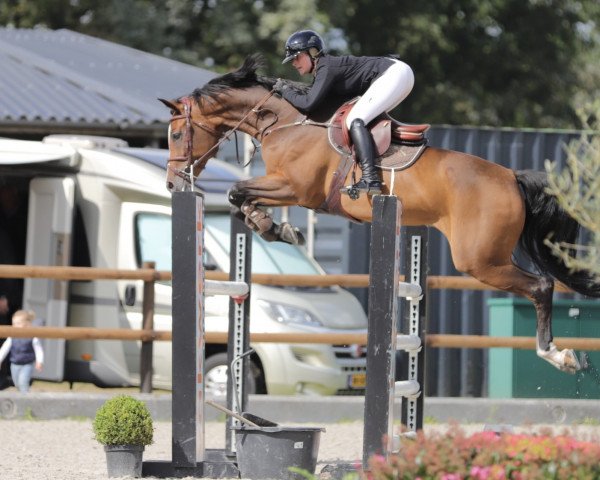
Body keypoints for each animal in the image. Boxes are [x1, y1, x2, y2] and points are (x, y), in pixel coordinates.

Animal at [161, 53, 600, 376]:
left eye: (177, 134)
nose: (171, 183)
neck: (284, 122)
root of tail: (510, 177)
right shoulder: (285, 189)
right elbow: (242, 199)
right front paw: (275, 228)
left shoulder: (296, 189)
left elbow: (237, 190)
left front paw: (277, 228)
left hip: (479, 259)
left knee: (541, 286)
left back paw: (557, 355)